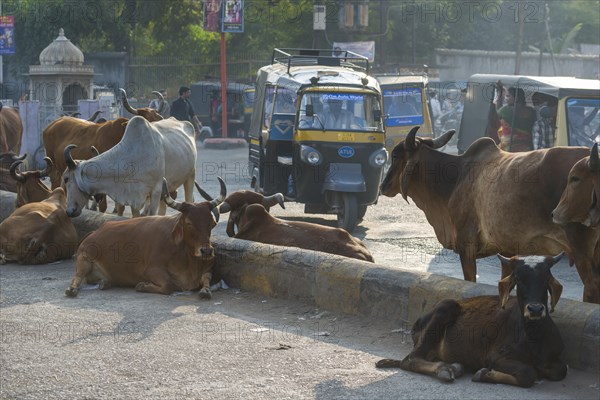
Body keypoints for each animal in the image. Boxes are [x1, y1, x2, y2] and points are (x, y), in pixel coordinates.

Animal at [62, 115, 197, 217]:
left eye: (66, 178)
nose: (69, 211)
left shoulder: (157, 190)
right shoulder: (134, 197)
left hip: (190, 176)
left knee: (188, 199)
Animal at [63, 177, 225, 296]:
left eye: (211, 223)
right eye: (189, 223)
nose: (206, 251)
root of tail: (95, 232)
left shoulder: (208, 269)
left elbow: (206, 278)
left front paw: (205, 290)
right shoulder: (151, 270)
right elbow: (169, 285)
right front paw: (142, 285)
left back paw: (105, 283)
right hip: (84, 258)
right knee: (78, 276)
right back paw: (72, 289)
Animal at [376, 253, 568, 388]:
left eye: (546, 279)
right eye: (519, 279)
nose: (535, 309)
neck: (534, 337)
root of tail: (420, 320)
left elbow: (561, 370)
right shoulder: (495, 356)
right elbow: (528, 373)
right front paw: (484, 374)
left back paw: (455, 367)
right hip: (445, 307)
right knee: (410, 360)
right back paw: (445, 369)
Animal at [382, 127, 596, 304]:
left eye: (395, 156)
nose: (383, 186)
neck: (455, 179)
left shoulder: (466, 245)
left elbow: (469, 281)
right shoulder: (508, 251)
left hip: (581, 248)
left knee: (591, 288)